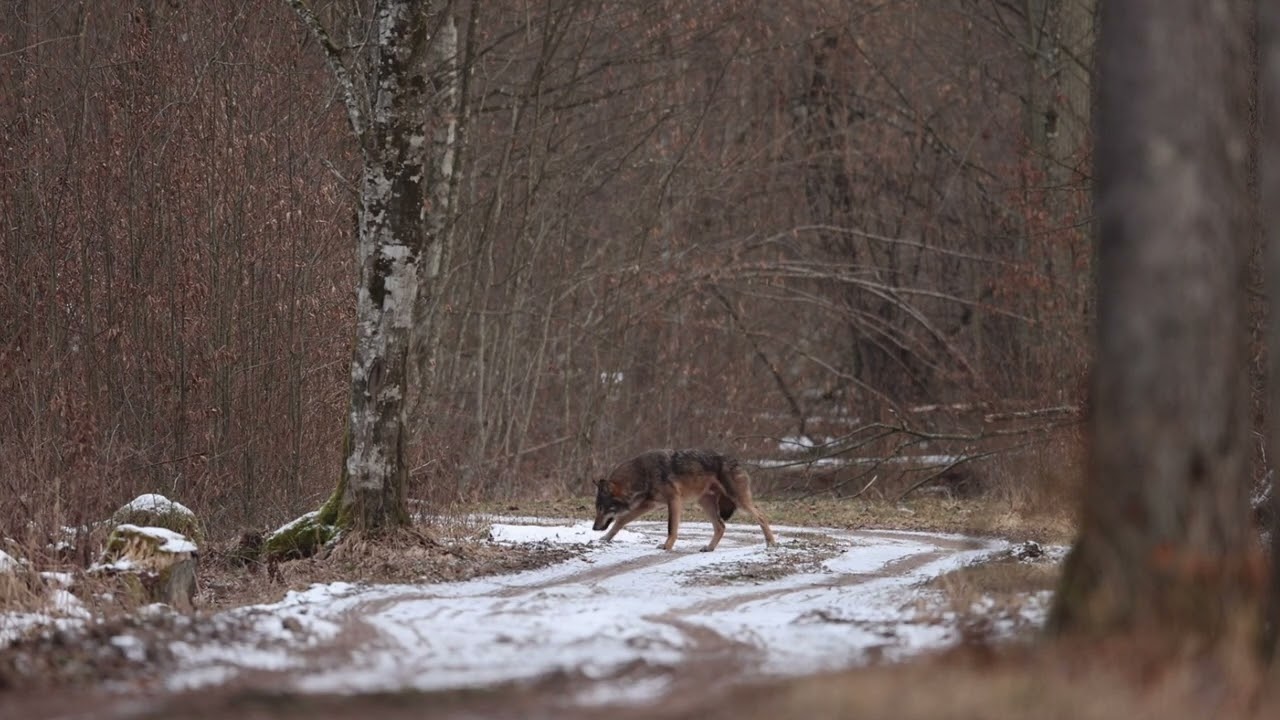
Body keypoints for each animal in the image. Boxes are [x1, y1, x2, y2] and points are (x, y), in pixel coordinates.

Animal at [592, 449, 777, 551]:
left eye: (601, 508)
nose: (594, 528)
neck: (642, 474)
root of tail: (738, 461)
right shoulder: (649, 504)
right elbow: (621, 521)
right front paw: (605, 538)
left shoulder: (674, 500)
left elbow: (671, 528)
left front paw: (666, 546)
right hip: (705, 503)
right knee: (721, 526)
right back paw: (709, 548)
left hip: (739, 501)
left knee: (762, 516)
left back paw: (771, 543)